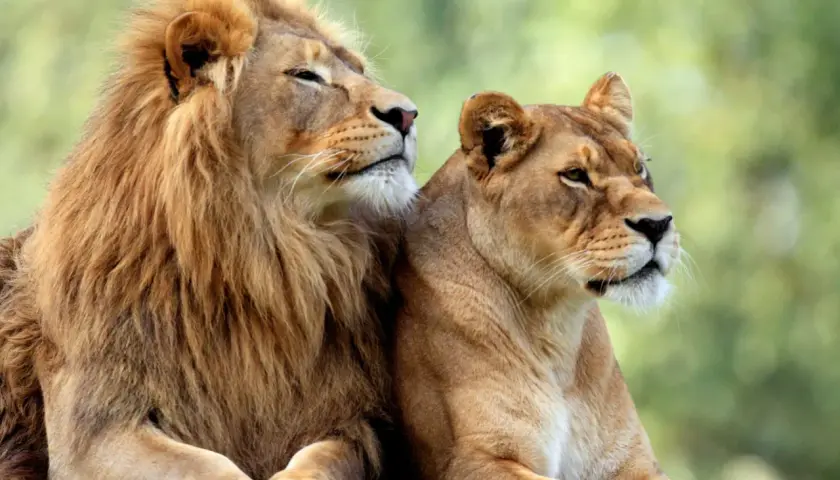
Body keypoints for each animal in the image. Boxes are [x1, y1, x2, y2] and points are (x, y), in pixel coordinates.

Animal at [0, 0, 419, 478]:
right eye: (306, 75)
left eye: (360, 70)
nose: (408, 114)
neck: (264, 260)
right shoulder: (93, 431)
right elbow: (210, 467)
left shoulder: (353, 420)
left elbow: (321, 459)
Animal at [392, 73, 679, 479]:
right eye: (575, 175)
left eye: (639, 167)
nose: (658, 224)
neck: (556, 326)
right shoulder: (470, 459)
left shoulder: (630, 460)